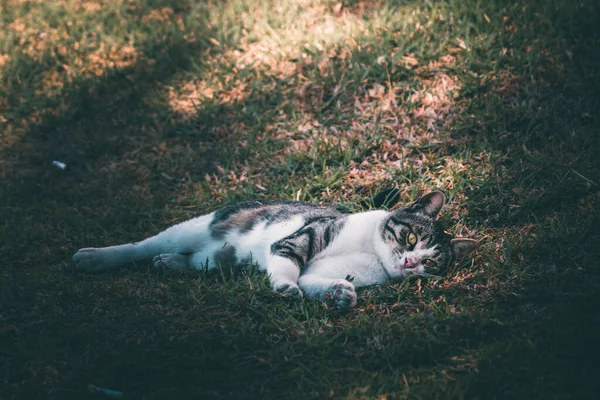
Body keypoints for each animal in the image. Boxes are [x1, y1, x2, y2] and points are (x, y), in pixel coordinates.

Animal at [74, 191, 478, 310]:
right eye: (410, 238)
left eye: (431, 263)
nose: (410, 262)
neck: (372, 256)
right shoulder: (307, 234)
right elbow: (288, 259)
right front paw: (284, 285)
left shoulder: (320, 273)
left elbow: (316, 282)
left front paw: (339, 294)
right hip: (191, 229)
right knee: (142, 245)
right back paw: (94, 257)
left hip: (212, 260)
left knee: (201, 263)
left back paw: (171, 264)